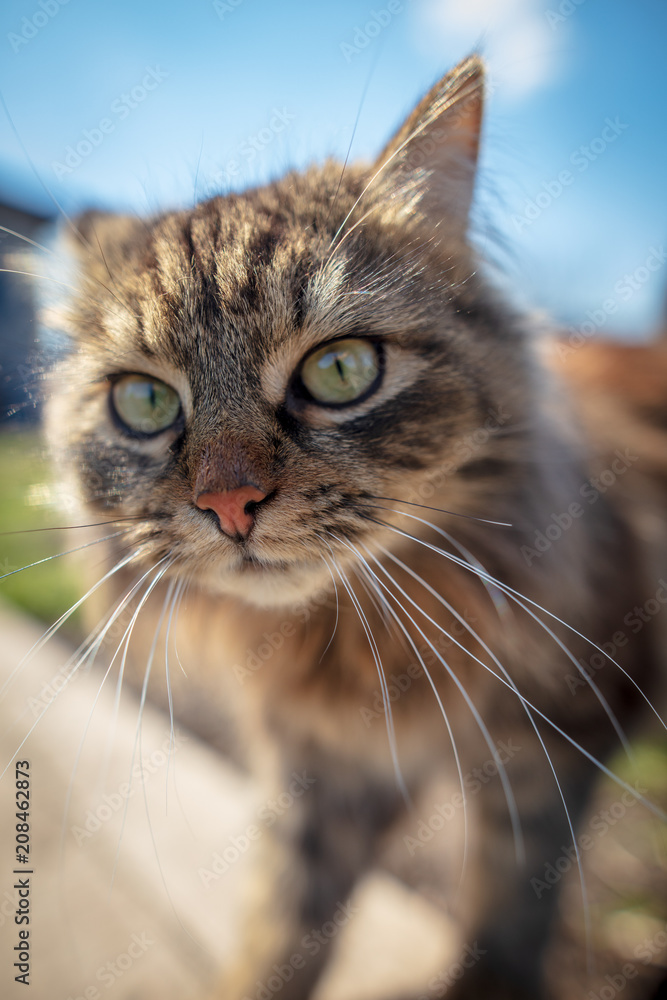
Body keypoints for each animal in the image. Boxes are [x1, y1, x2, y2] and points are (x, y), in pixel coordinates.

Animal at [44, 56, 664, 1000]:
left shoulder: (549, 751)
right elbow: (280, 938)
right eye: (144, 402)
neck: (348, 643)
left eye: (339, 371)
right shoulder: (321, 778)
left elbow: (505, 922)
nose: (229, 504)